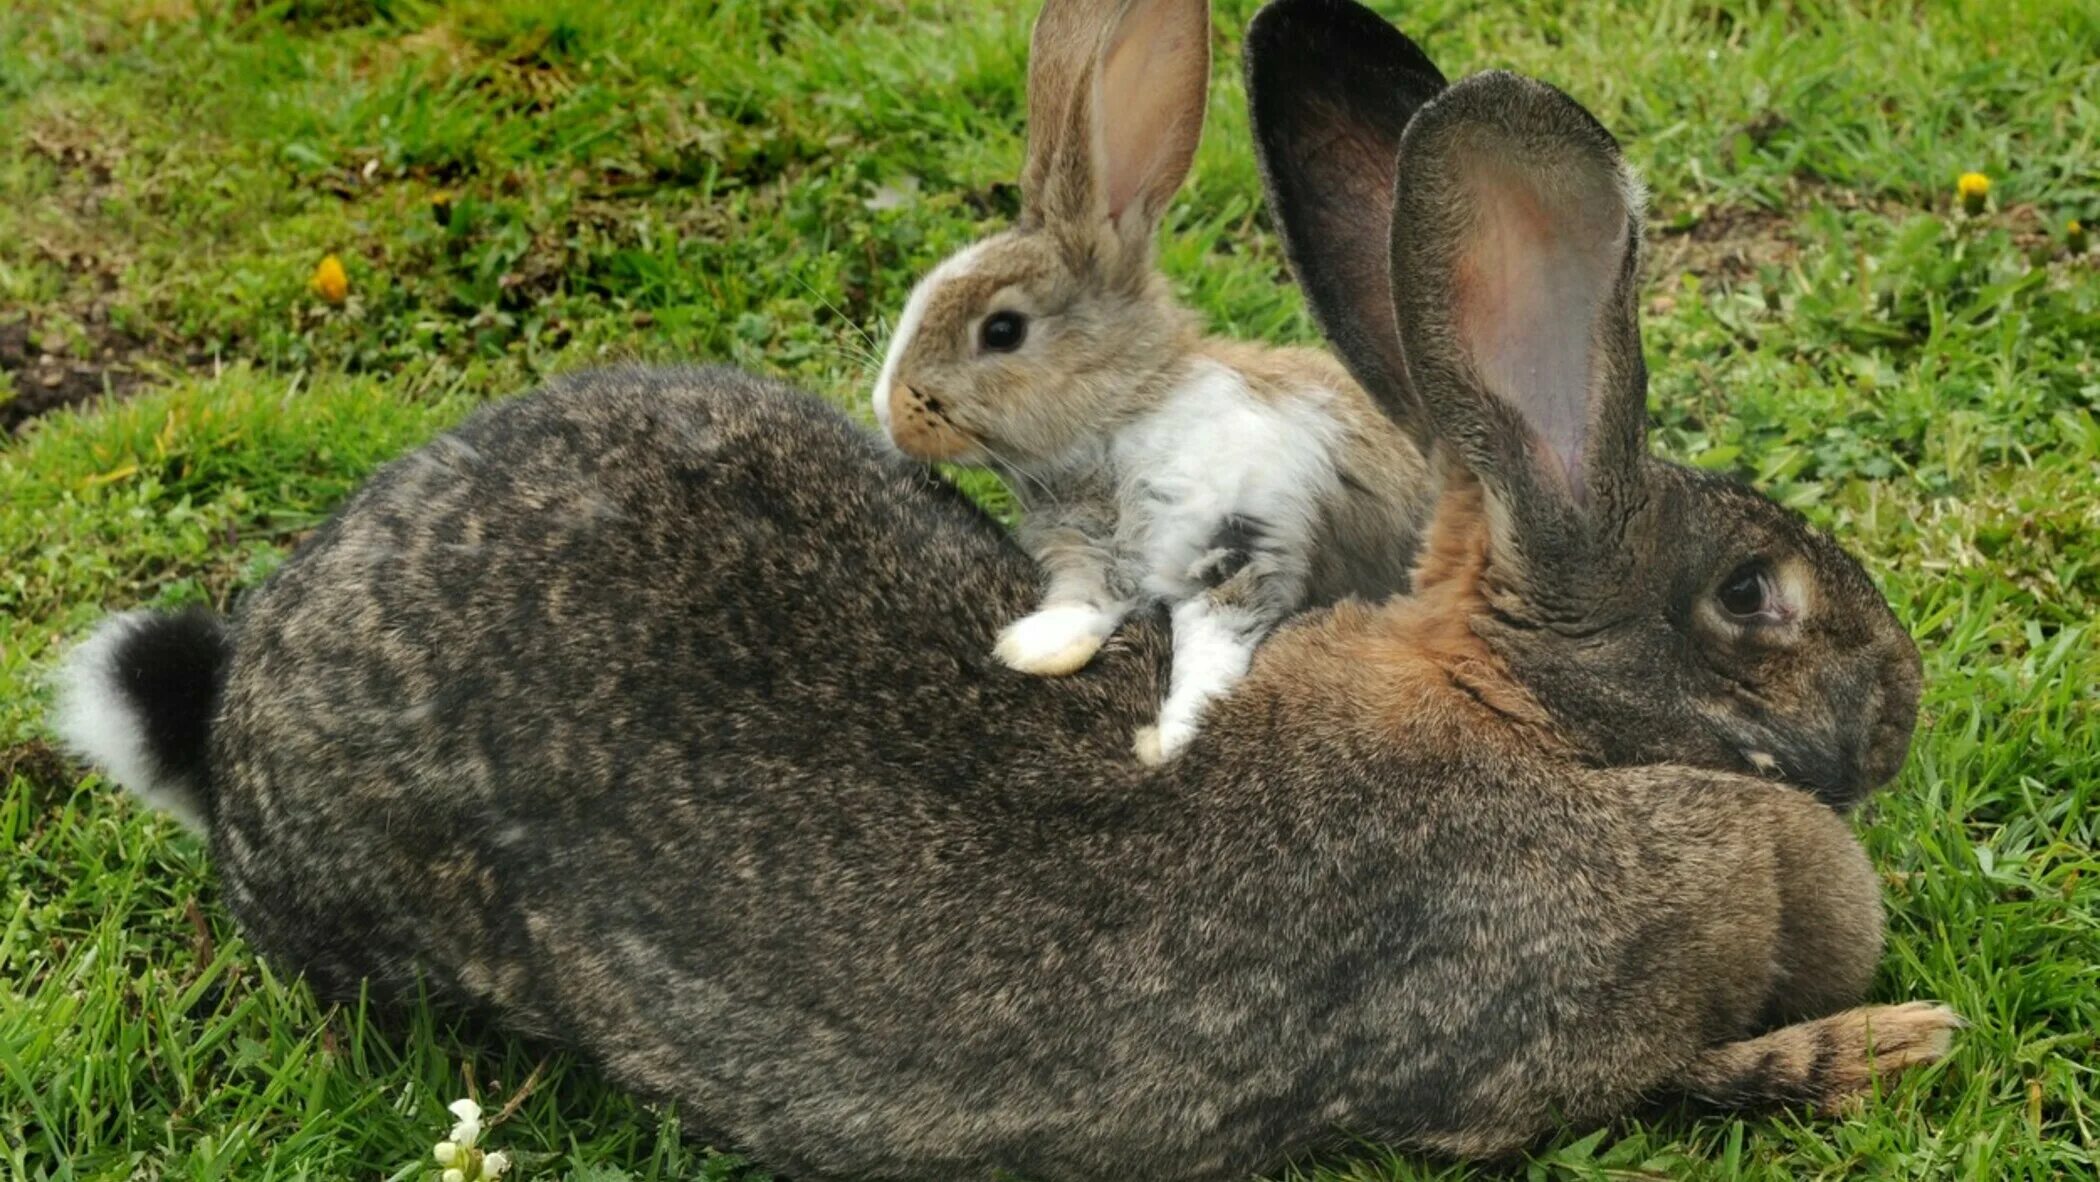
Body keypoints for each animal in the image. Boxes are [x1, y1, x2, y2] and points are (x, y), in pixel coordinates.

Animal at [865, 0, 1427, 764]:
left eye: (1003, 331)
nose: (888, 412)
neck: (1122, 425)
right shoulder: (1087, 552)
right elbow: (1084, 600)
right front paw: (1032, 648)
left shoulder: (1240, 545)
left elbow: (1211, 650)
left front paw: (1168, 740)